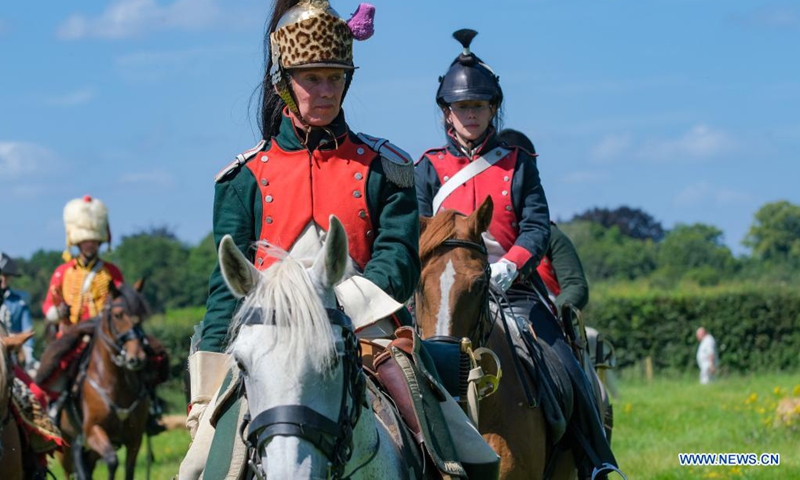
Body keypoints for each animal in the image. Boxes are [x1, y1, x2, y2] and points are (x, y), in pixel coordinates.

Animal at [59, 282, 150, 480]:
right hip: (67, 449)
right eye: (117, 315)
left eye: (141, 315)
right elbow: (111, 460)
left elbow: (128, 469)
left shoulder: (135, 438)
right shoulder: (94, 430)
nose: (137, 357)